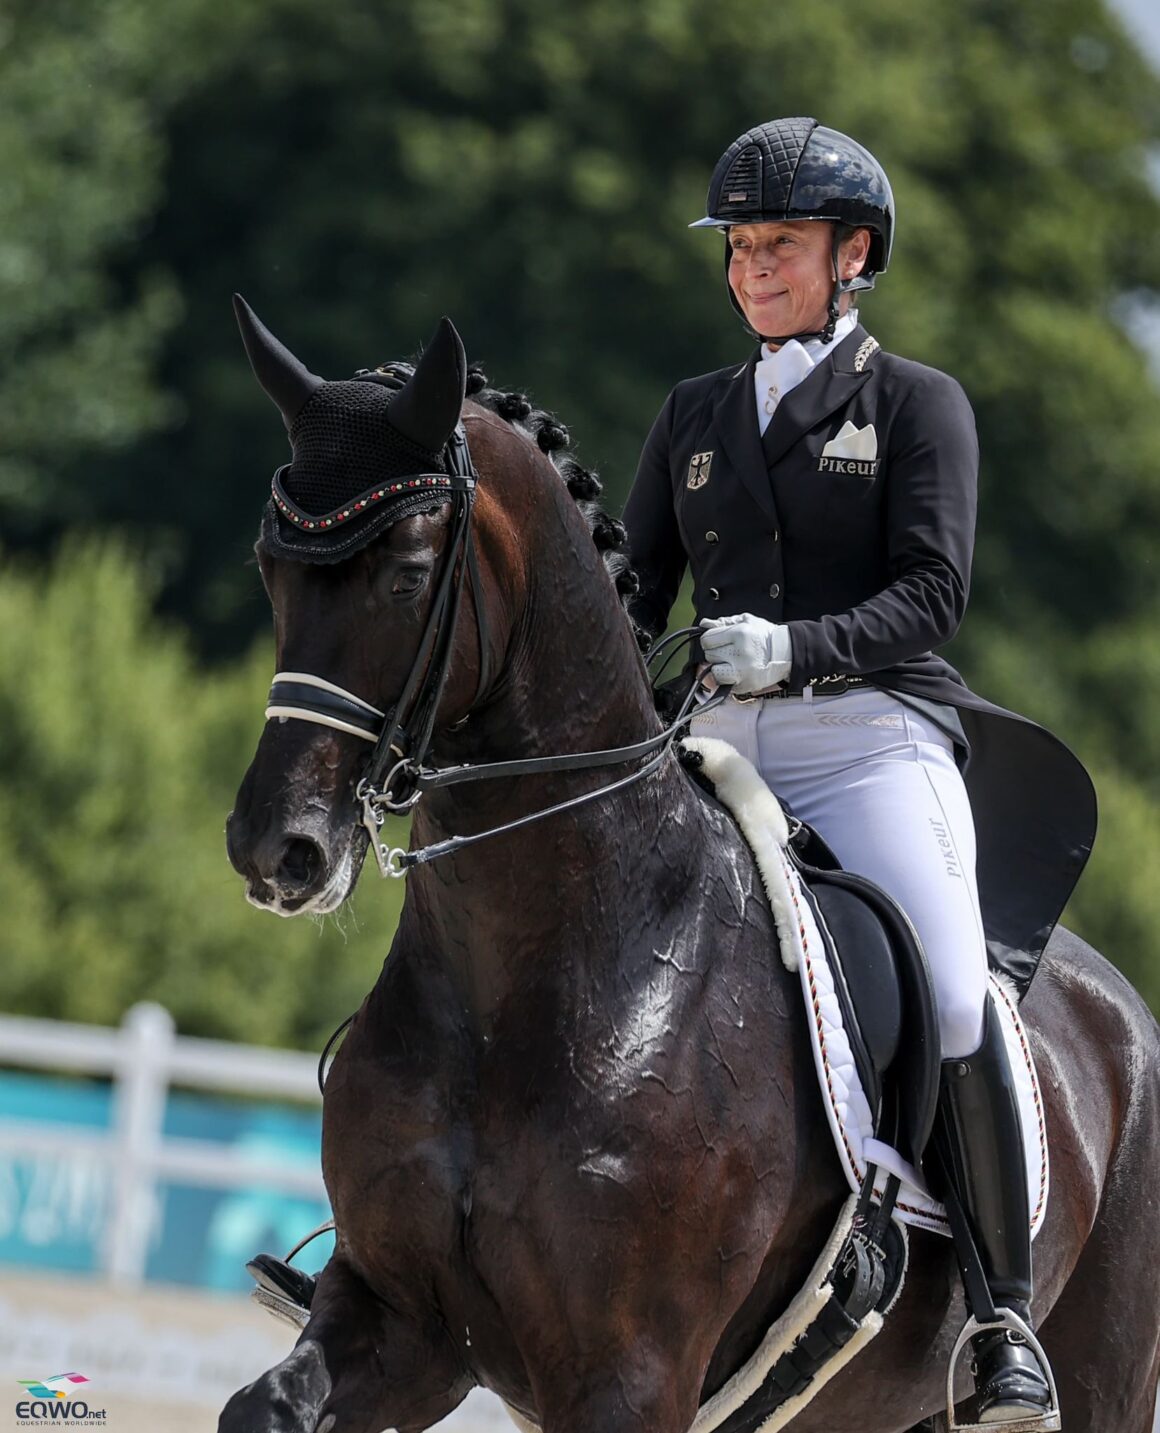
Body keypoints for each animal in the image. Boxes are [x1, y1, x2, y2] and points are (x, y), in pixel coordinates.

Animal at [219, 308, 1158, 1427]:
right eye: (269, 567)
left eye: (406, 573)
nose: (278, 847)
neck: (523, 978)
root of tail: (1122, 1009)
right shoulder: (404, 1319)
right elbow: (266, 1404)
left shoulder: (631, 1376)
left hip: (1100, 1374)